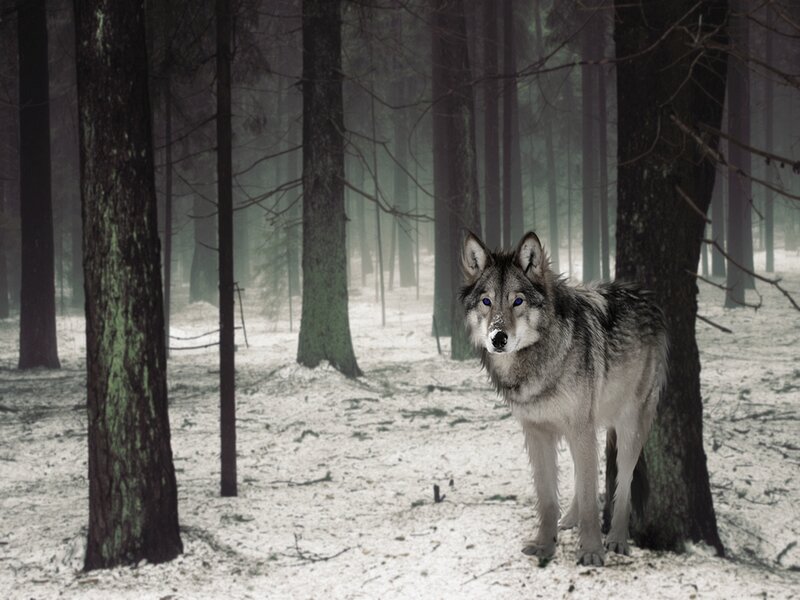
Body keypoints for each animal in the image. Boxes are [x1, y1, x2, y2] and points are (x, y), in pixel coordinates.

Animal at [460, 230, 668, 566]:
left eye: (517, 301)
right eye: (486, 301)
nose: (498, 338)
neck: (537, 365)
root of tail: (646, 297)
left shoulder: (580, 429)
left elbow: (592, 496)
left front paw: (592, 551)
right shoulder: (537, 433)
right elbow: (547, 497)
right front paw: (545, 544)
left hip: (628, 427)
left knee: (623, 481)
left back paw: (617, 538)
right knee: (585, 477)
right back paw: (570, 519)